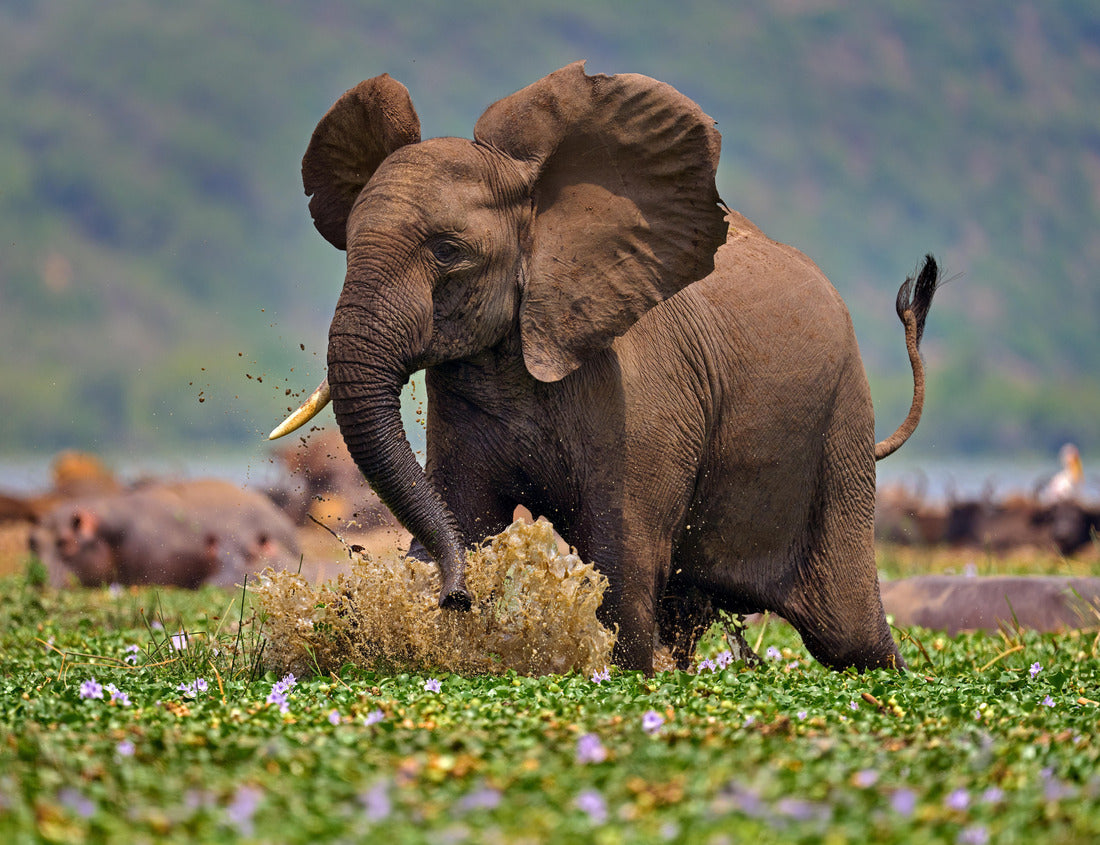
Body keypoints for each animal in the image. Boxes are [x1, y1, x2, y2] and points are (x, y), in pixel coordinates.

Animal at [269, 63, 942, 673]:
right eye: (349, 243)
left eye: (448, 252)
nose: (457, 598)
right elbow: (463, 511)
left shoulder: (641, 389)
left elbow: (623, 557)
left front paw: (629, 673)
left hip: (839, 428)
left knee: (848, 635)